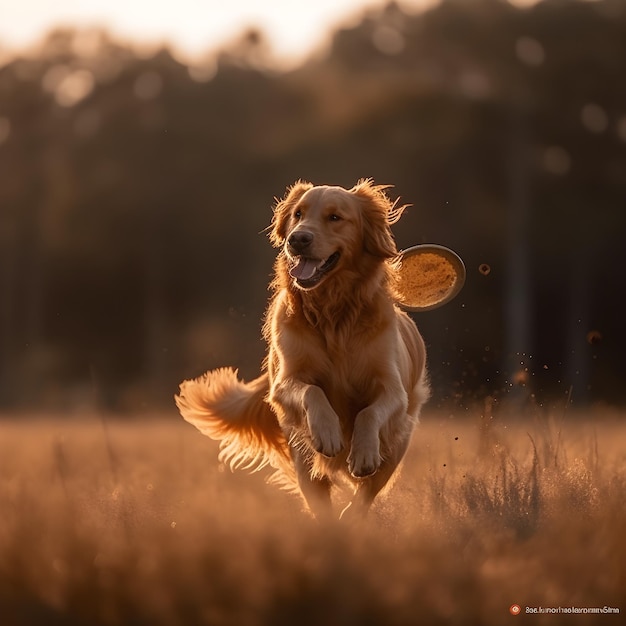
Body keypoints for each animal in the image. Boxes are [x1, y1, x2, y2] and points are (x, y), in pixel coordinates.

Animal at [176, 177, 428, 516]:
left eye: (335, 217)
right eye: (298, 214)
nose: (297, 239)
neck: (334, 312)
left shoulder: (393, 388)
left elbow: (369, 413)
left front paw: (362, 451)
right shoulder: (285, 381)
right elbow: (313, 392)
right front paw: (328, 432)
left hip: (396, 446)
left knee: (363, 497)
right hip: (301, 458)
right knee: (321, 502)